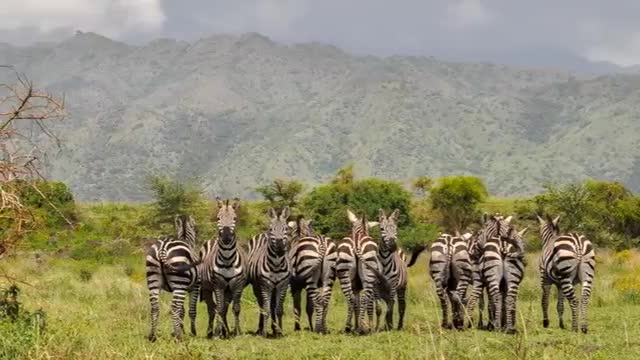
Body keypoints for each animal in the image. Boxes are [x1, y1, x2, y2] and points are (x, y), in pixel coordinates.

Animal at [199, 197, 246, 338]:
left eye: (234, 218)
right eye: (218, 218)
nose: (225, 238)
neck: (227, 259)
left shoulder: (237, 284)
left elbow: (235, 308)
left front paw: (236, 332)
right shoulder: (218, 284)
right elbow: (219, 309)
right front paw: (217, 333)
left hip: (228, 290)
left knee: (223, 308)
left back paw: (226, 332)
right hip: (207, 288)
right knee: (212, 308)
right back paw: (211, 332)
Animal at [248, 207, 292, 336]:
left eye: (286, 229)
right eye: (271, 229)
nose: (280, 247)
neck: (276, 265)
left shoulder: (283, 285)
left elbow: (279, 310)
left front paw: (279, 331)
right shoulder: (265, 285)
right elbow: (266, 309)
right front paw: (264, 332)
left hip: (275, 288)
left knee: (272, 306)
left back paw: (274, 328)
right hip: (257, 287)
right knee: (262, 305)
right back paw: (260, 328)